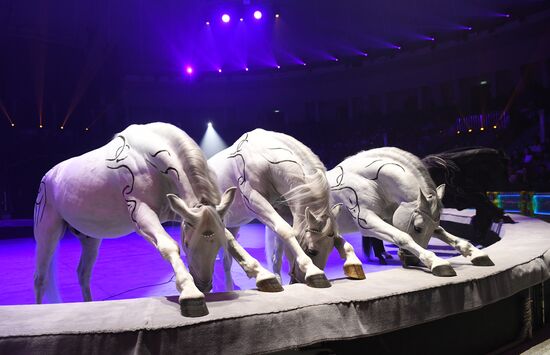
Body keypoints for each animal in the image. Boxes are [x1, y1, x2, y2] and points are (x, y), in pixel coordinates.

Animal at [34, 124, 280, 318]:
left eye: (217, 245)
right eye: (187, 244)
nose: (204, 285)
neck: (148, 159)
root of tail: (49, 176)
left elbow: (232, 240)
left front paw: (265, 276)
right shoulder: (140, 213)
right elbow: (168, 246)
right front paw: (190, 293)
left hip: (91, 238)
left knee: (83, 274)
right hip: (47, 230)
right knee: (40, 277)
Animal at [209, 128, 364, 290]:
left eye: (330, 249)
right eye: (311, 251)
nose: (298, 280)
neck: (264, 155)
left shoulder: (285, 211)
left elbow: (280, 247)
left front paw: (353, 262)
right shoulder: (254, 200)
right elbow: (285, 230)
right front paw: (312, 271)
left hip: (233, 225)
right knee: (225, 262)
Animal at [328, 147, 496, 278]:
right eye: (417, 227)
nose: (411, 261)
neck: (370, 182)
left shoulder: (389, 218)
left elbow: (445, 234)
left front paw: (476, 253)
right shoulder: (367, 220)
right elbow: (402, 237)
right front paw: (436, 262)